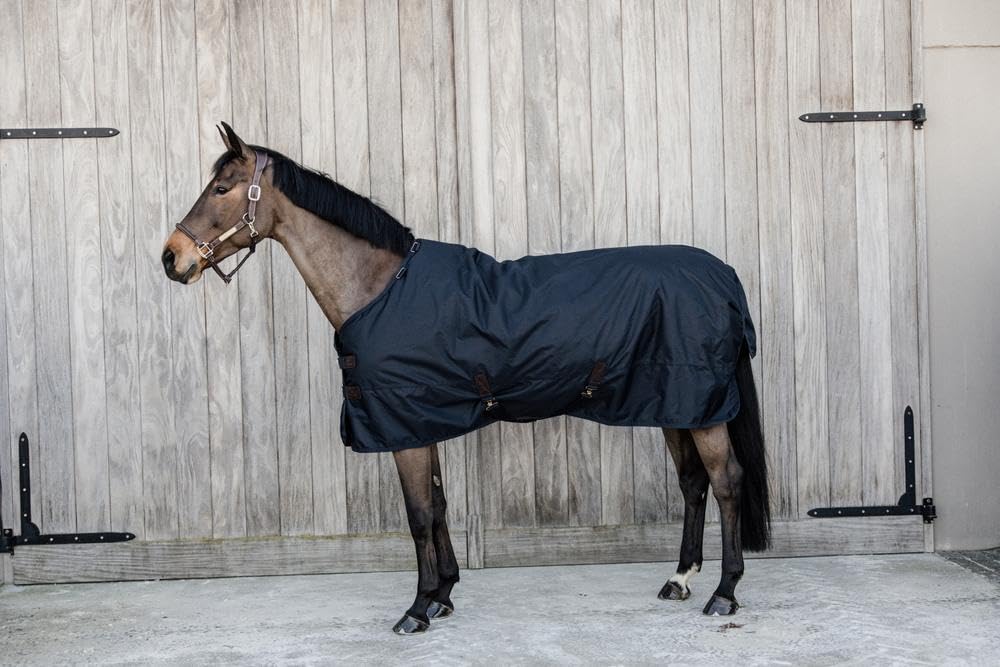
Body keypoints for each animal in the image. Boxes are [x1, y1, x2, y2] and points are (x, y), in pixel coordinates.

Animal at [161, 123, 771, 635]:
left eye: (221, 188)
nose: (172, 258)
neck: (381, 288)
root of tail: (722, 275)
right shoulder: (419, 422)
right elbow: (439, 505)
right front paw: (444, 595)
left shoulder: (403, 427)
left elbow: (418, 515)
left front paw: (416, 608)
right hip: (675, 406)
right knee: (692, 484)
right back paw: (680, 580)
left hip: (701, 409)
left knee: (726, 483)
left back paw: (723, 593)